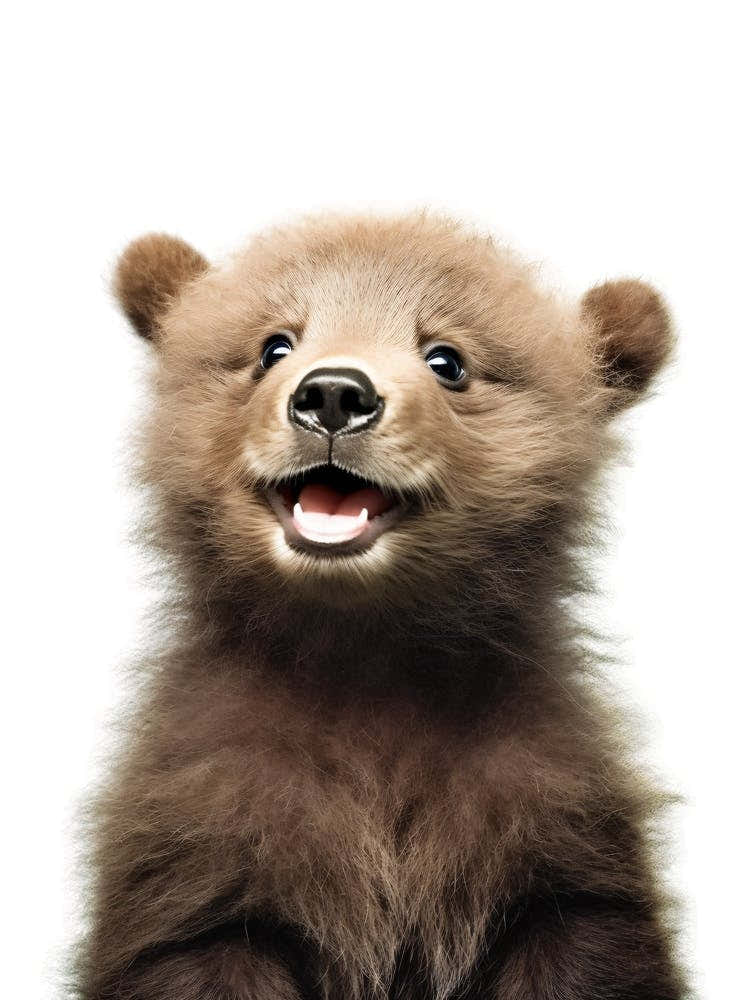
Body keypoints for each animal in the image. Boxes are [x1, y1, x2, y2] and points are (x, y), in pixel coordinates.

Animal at [75, 214, 685, 1000]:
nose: (335, 394)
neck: (366, 655)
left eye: (447, 359)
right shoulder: (207, 850)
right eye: (274, 345)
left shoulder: (549, 840)